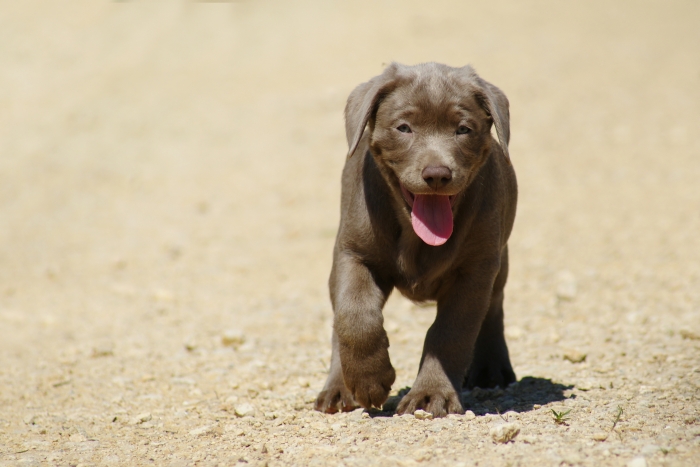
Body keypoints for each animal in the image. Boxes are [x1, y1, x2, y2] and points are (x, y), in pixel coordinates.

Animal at [314, 62, 516, 416]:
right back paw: (339, 388)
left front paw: (431, 394)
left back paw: (491, 368)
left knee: (494, 307)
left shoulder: (476, 271)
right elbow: (354, 316)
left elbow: (449, 333)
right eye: (404, 128)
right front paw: (369, 380)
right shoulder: (353, 254)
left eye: (463, 129)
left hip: (499, 262)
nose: (437, 174)